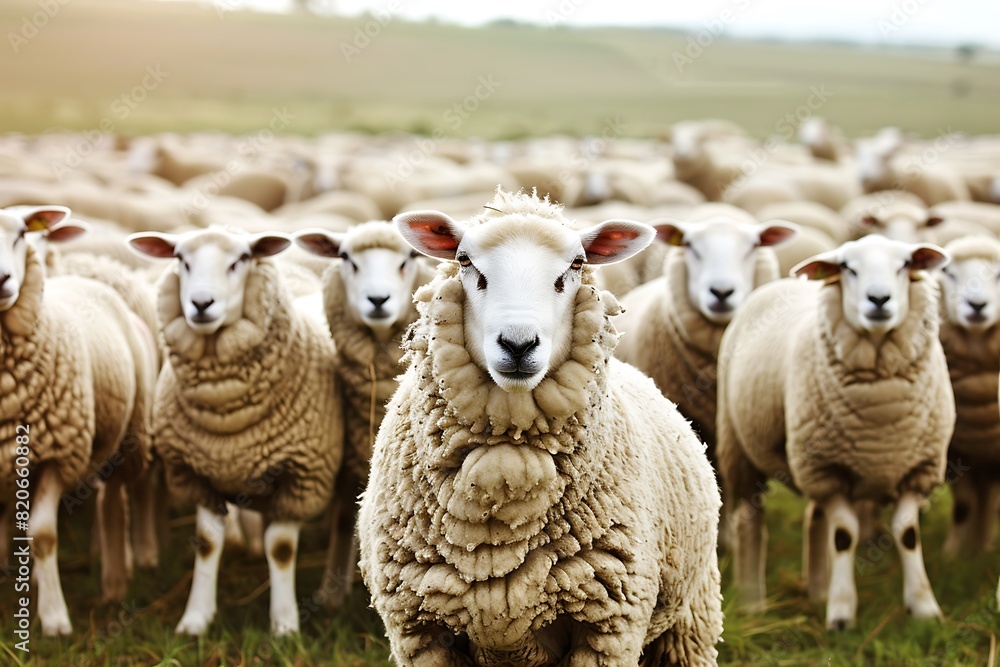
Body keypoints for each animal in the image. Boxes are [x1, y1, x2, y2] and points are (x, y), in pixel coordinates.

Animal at [0, 205, 154, 635]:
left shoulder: (57, 455)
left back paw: (119, 577)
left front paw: (54, 619)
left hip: (128, 434)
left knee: (117, 496)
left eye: (21, 234)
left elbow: (43, 535)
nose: (2, 280)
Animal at [127, 227, 344, 636]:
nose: (201, 303)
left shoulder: (300, 476)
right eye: (181, 260)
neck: (227, 416)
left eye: (241, 259)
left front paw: (285, 624)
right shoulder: (195, 474)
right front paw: (195, 619)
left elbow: (281, 550)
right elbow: (207, 543)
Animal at [293, 221, 438, 609]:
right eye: (346, 258)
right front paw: (331, 591)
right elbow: (344, 517)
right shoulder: (349, 452)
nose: (377, 300)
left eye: (410, 257)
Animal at [359, 190, 723, 666]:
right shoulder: (418, 631)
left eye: (576, 264)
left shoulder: (609, 627)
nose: (518, 344)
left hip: (692, 613)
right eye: (464, 260)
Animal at [717, 235, 953, 630]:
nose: (878, 299)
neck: (881, 407)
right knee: (750, 520)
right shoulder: (827, 470)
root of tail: (782, 283)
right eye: (847, 268)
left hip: (809, 459)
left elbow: (907, 534)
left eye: (904, 264)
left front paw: (924, 607)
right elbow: (844, 536)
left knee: (815, 519)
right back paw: (753, 602)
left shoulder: (918, 469)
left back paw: (816, 591)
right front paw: (842, 612)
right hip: (742, 449)